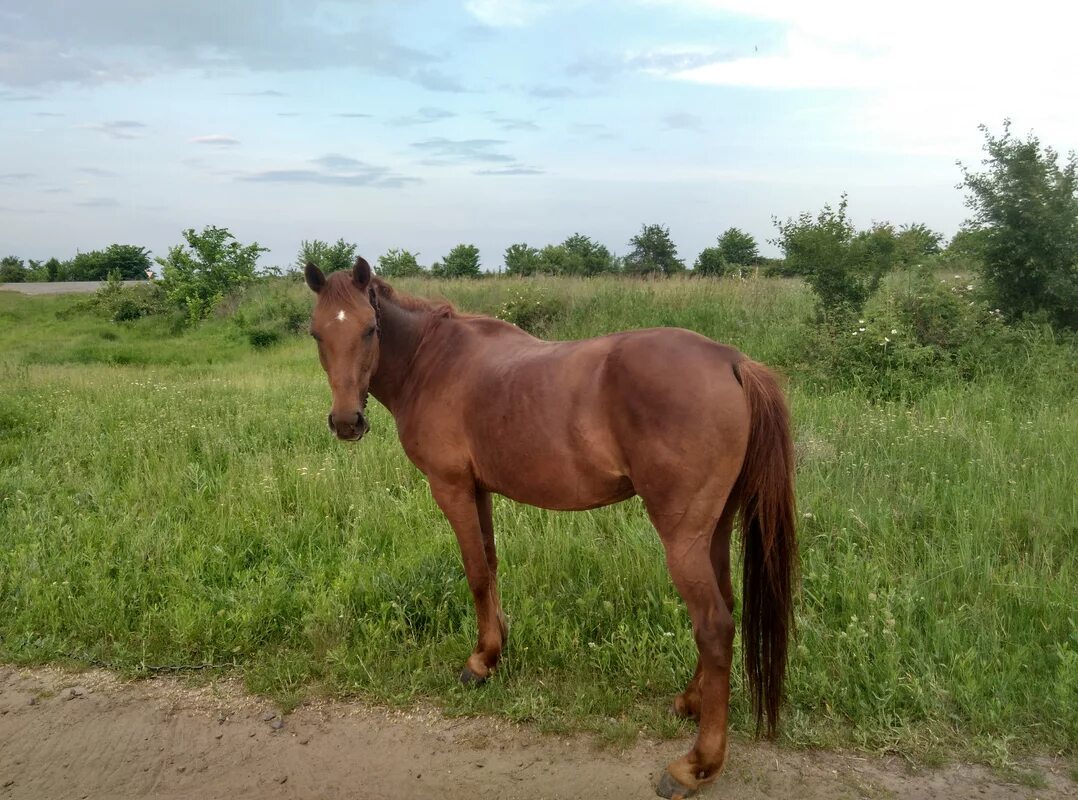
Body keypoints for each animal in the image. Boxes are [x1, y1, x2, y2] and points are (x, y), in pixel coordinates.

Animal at [301, 259, 793, 797]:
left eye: (369, 329)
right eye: (317, 333)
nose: (346, 422)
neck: (432, 362)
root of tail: (731, 360)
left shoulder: (450, 487)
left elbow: (475, 572)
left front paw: (480, 662)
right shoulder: (478, 489)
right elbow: (491, 565)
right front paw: (497, 646)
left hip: (683, 538)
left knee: (713, 626)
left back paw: (697, 764)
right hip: (715, 530)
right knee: (726, 606)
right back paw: (690, 702)